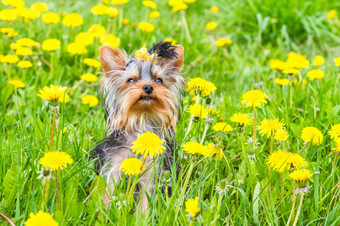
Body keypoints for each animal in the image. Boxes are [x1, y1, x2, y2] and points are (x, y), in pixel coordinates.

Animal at [92, 42, 186, 212]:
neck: (142, 118)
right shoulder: (114, 165)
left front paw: (141, 216)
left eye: (159, 80)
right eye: (131, 80)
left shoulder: (152, 171)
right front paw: (105, 213)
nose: (148, 87)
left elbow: (145, 200)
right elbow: (109, 192)